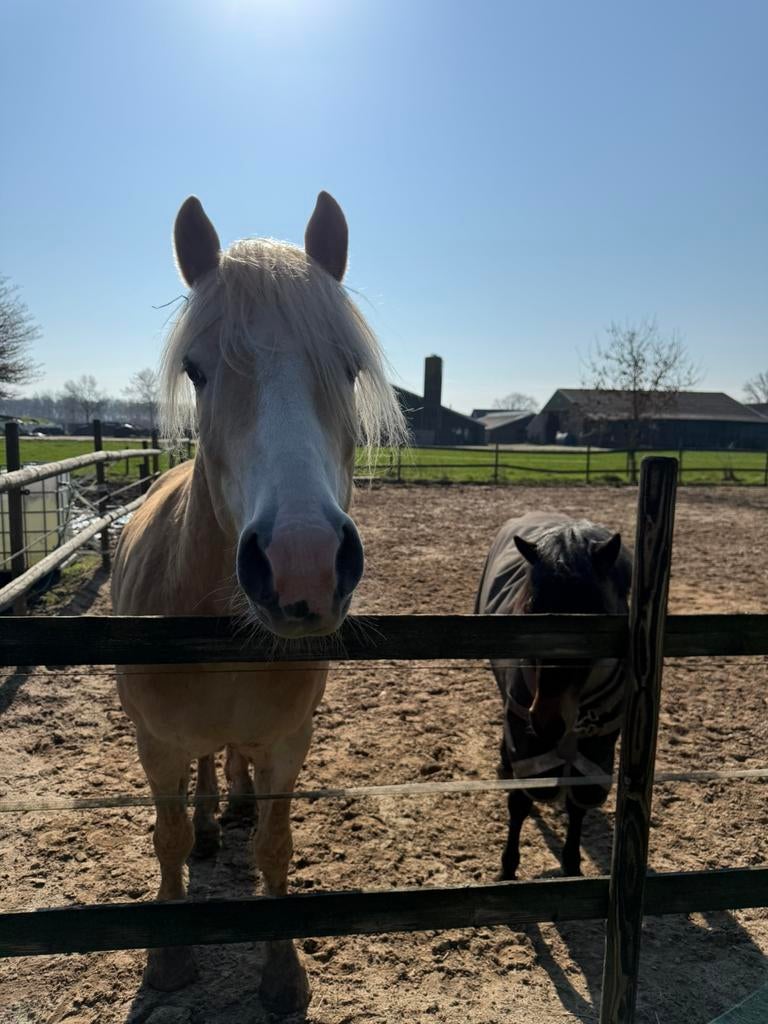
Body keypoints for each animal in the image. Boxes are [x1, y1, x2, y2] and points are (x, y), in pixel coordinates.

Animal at [111, 191, 405, 1013]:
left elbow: (277, 846)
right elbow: (168, 838)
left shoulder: (287, 741)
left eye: (348, 367)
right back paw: (216, 820)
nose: (302, 566)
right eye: (197, 370)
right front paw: (168, 961)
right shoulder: (156, 743)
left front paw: (282, 973)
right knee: (207, 772)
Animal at [475, 513, 632, 880]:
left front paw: (572, 864)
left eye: (596, 614)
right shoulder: (526, 742)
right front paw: (507, 869)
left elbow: (578, 803)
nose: (547, 720)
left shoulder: (598, 747)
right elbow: (520, 801)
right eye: (532, 610)